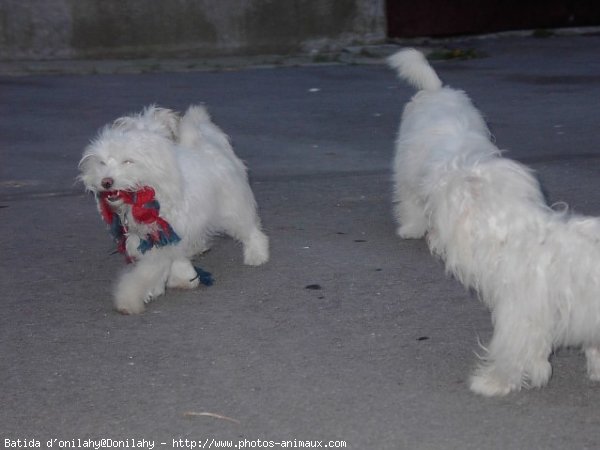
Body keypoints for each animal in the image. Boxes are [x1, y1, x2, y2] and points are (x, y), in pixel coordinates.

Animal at [78, 106, 270, 316]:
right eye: (102, 163)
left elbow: (147, 271)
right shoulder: (149, 236)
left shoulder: (163, 237)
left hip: (231, 207)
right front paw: (175, 280)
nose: (106, 181)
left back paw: (257, 255)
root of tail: (208, 140)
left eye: (127, 161)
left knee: (250, 230)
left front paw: (129, 299)